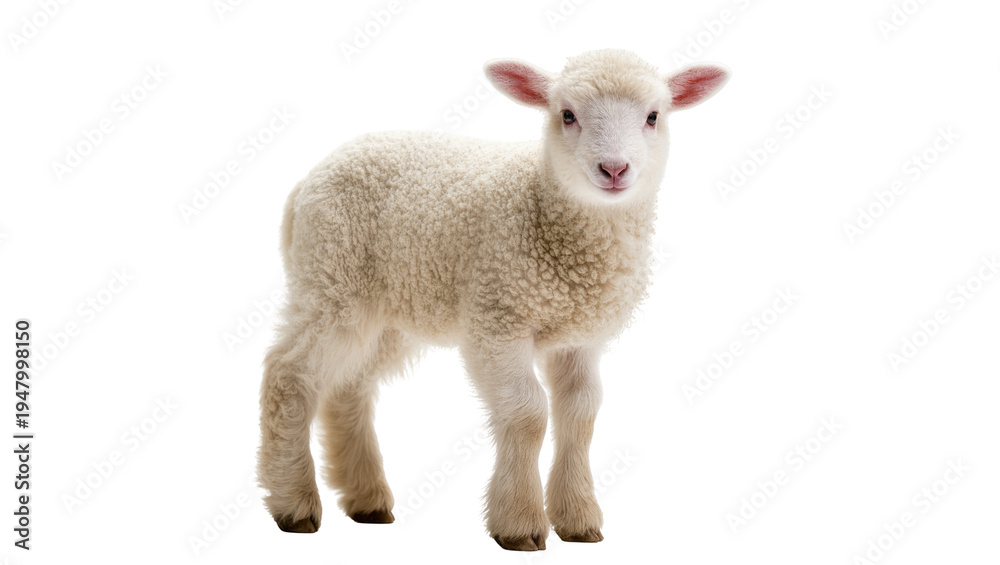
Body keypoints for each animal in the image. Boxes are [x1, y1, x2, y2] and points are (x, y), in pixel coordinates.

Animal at [257, 48, 729, 551]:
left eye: (653, 116)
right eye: (567, 115)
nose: (615, 170)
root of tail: (308, 180)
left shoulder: (579, 336)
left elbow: (581, 413)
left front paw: (579, 519)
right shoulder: (498, 319)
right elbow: (528, 413)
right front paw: (519, 523)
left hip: (391, 307)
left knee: (350, 385)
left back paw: (367, 499)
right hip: (331, 279)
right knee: (290, 373)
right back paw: (293, 502)